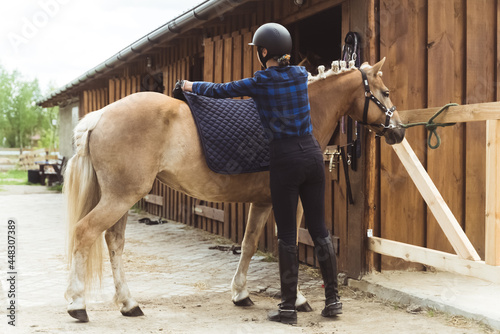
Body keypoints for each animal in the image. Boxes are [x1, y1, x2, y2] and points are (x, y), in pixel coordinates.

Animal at [63, 57, 406, 320]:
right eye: (386, 92)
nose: (399, 131)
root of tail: (100, 116)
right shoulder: (291, 201)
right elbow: (290, 242)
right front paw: (296, 300)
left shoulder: (263, 202)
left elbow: (249, 243)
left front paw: (240, 293)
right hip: (120, 198)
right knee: (84, 233)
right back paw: (78, 305)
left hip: (121, 198)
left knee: (114, 242)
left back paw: (128, 304)